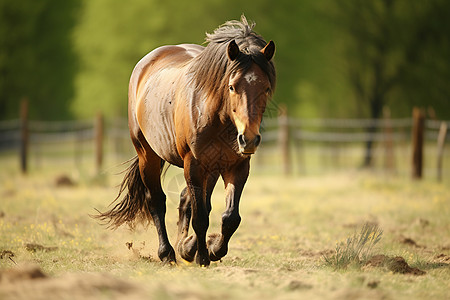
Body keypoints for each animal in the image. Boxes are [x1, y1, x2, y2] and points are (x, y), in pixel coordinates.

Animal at [96, 15, 276, 268]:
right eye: (231, 86)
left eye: (266, 88)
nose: (248, 139)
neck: (217, 117)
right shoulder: (193, 164)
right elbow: (200, 216)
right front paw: (202, 257)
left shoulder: (237, 166)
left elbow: (229, 217)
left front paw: (211, 249)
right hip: (147, 155)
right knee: (157, 201)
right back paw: (167, 253)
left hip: (211, 169)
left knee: (189, 200)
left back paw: (185, 246)